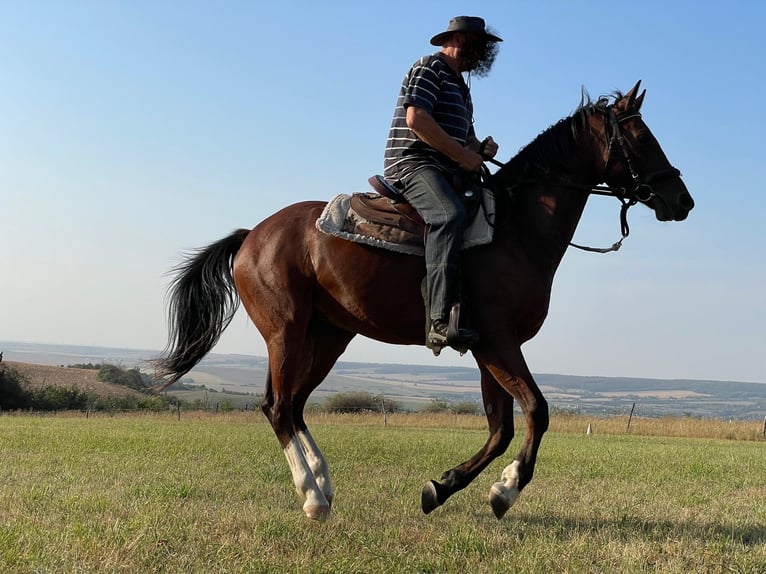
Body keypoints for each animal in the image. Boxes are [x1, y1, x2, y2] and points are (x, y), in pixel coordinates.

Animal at [156, 82, 696, 520]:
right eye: (642, 138)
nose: (683, 200)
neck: (515, 230)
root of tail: (252, 236)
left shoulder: (489, 349)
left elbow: (500, 428)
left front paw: (444, 487)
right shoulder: (497, 343)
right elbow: (536, 411)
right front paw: (504, 492)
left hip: (329, 336)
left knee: (297, 404)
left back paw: (324, 485)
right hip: (285, 332)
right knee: (277, 406)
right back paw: (311, 497)